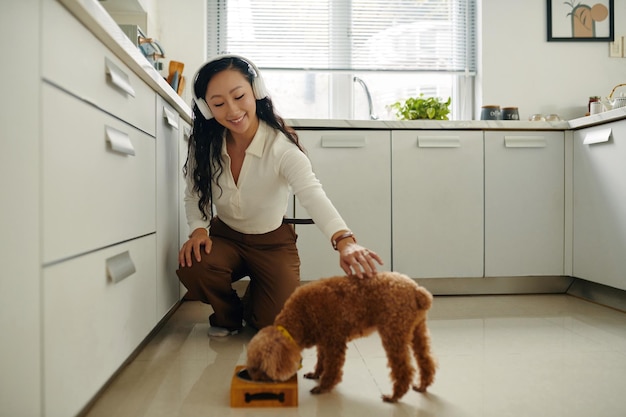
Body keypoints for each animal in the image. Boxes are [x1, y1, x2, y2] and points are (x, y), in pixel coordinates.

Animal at [244, 272, 434, 402]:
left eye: (258, 367)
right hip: (417, 331)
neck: (301, 315)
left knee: (404, 370)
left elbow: (332, 368)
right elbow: (321, 360)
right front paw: (316, 374)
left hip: (393, 333)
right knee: (426, 360)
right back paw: (422, 385)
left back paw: (394, 396)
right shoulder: (323, 341)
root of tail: (417, 291)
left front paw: (323, 386)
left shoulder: (334, 341)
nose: (254, 379)